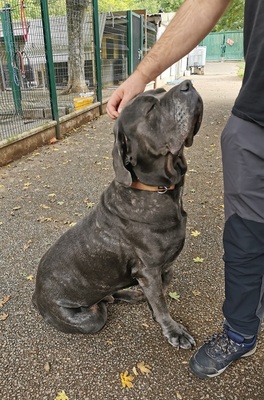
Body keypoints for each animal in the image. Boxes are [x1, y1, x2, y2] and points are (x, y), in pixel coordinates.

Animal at [32, 81, 202, 350]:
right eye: (150, 108)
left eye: (161, 91)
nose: (187, 84)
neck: (158, 190)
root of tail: (36, 295)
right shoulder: (149, 270)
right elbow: (162, 303)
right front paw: (174, 331)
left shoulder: (163, 268)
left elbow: (163, 293)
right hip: (90, 319)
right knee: (100, 306)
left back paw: (129, 294)